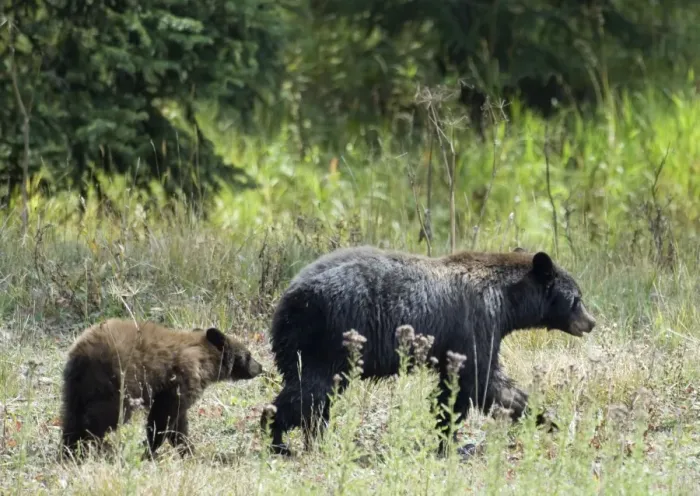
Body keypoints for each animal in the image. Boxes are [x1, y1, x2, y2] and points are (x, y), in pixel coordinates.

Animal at [59, 318, 264, 461]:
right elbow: (163, 418)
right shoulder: (180, 381)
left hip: (76, 385)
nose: (260, 367)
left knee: (71, 415)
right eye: (248, 355)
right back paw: (92, 447)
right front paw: (149, 451)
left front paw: (188, 451)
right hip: (116, 380)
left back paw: (70, 450)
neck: (204, 359)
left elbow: (178, 424)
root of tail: (82, 354)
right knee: (105, 416)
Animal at [260, 245, 596, 457]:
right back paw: (277, 439)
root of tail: (288, 299)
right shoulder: (476, 323)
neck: (506, 301)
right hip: (325, 339)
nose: (591, 322)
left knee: (316, 399)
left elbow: (472, 385)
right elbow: (480, 381)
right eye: (577, 298)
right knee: (309, 392)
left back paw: (315, 440)